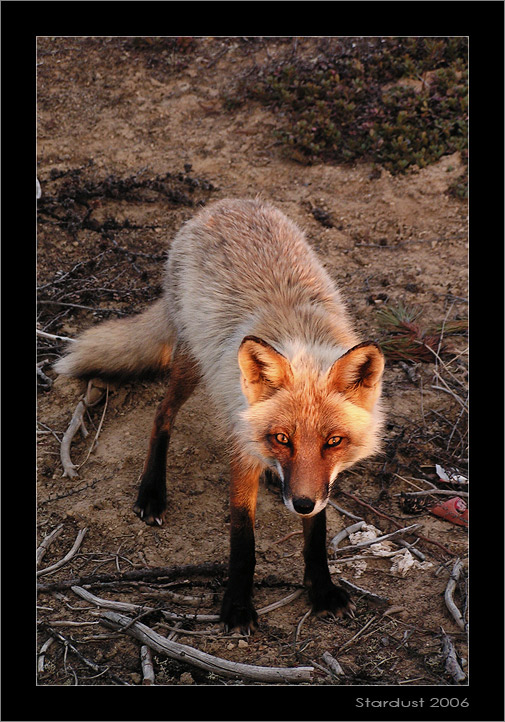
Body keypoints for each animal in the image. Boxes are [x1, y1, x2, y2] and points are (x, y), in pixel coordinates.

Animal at [55, 197, 384, 632]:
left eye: (334, 442)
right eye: (282, 438)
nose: (299, 504)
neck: (300, 337)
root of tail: (226, 203)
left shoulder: (320, 482)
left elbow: (316, 535)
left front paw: (322, 590)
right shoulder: (242, 449)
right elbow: (243, 540)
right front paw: (238, 607)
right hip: (190, 362)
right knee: (162, 415)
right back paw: (152, 492)